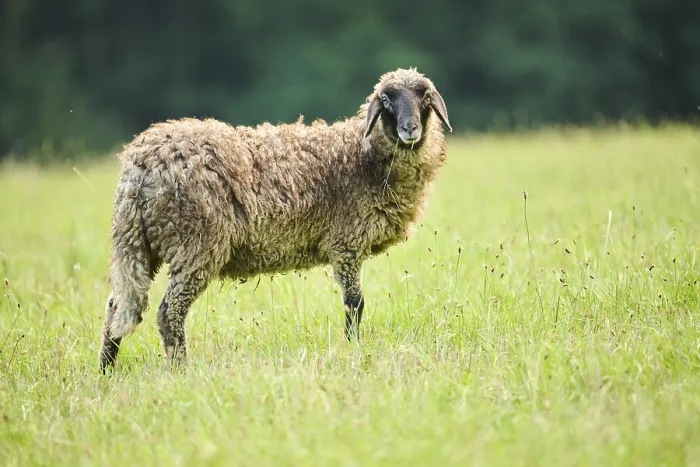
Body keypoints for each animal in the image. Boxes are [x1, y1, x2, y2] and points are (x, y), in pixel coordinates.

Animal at [98, 67, 452, 373]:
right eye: (387, 100)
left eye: (424, 96)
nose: (410, 129)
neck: (361, 155)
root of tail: (140, 165)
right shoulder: (346, 244)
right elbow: (354, 306)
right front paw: (353, 351)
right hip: (195, 245)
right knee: (169, 312)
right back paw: (180, 370)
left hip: (135, 243)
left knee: (118, 308)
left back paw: (106, 372)